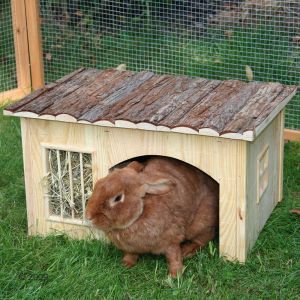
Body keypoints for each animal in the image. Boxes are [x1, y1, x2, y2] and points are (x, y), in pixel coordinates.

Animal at [85, 157, 219, 276]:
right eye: (98, 184)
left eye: (118, 198)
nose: (89, 216)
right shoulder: (131, 248)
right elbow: (130, 255)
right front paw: (125, 264)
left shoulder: (171, 239)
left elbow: (174, 256)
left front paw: (175, 275)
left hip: (201, 223)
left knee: (204, 238)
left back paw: (187, 251)